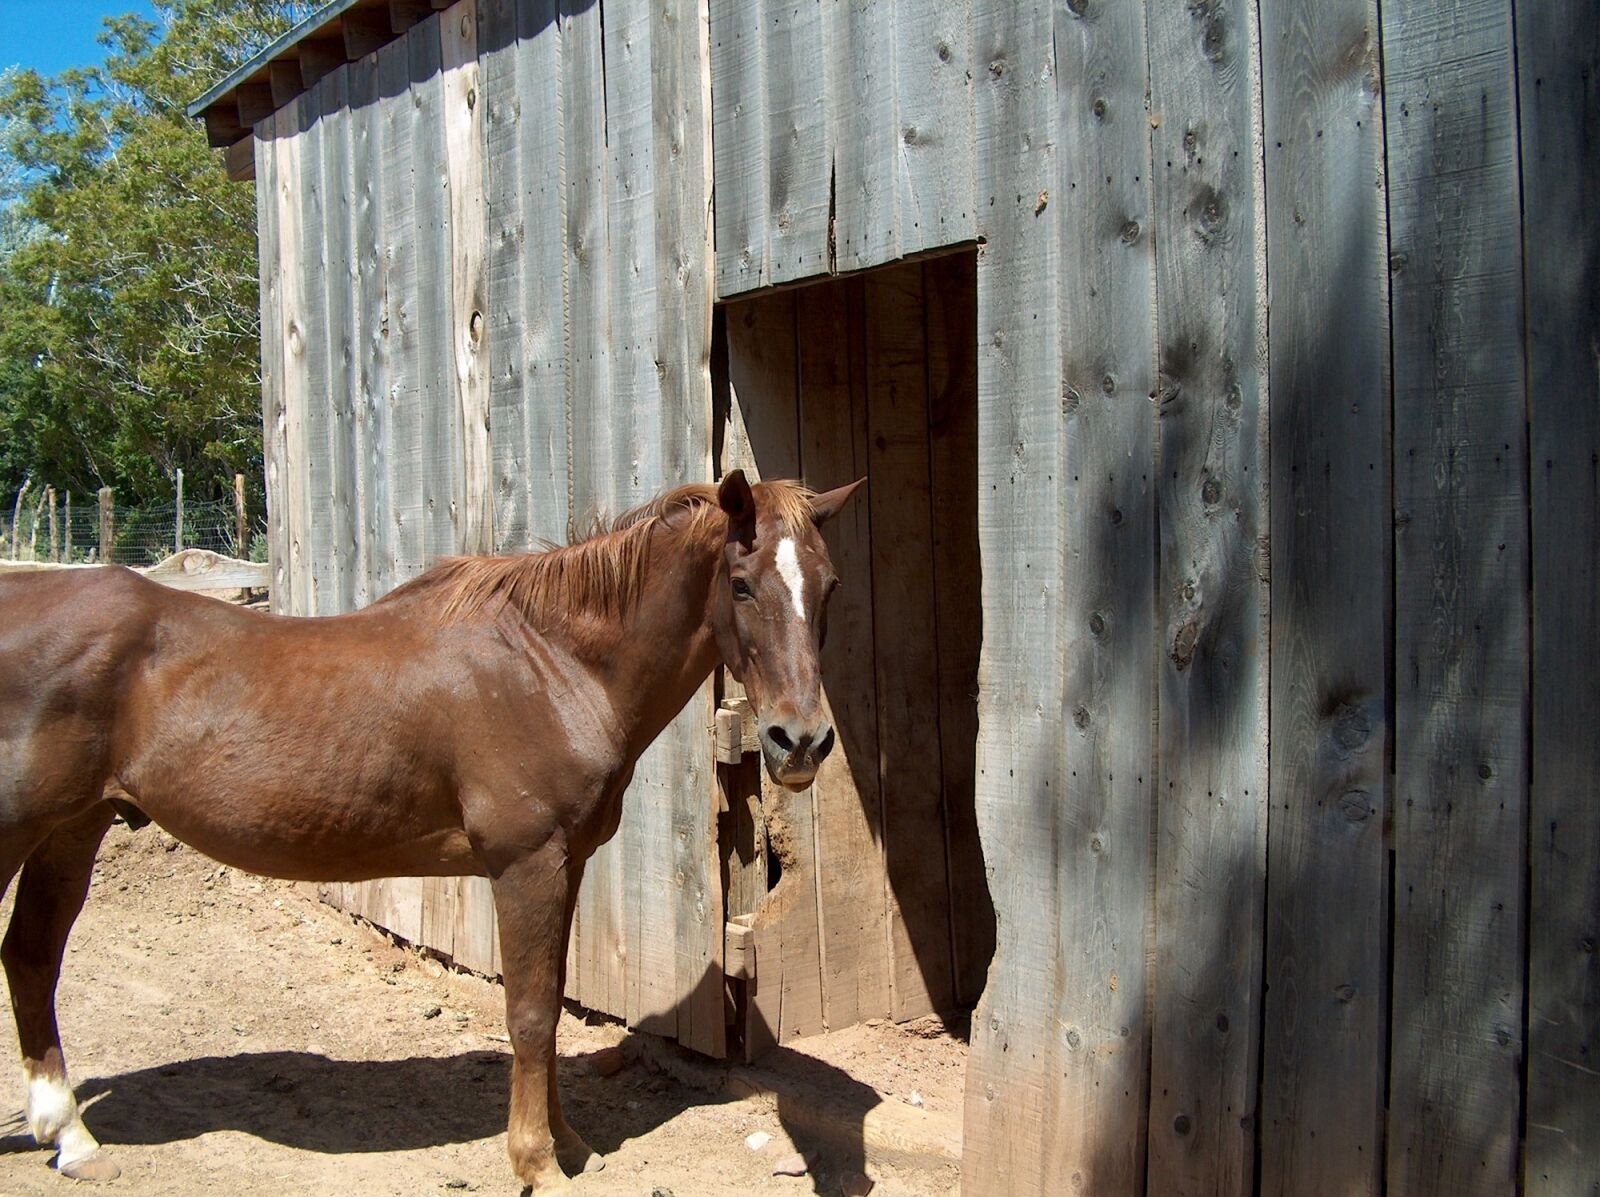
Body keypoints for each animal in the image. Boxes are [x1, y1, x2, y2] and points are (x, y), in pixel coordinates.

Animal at [0, 470, 862, 1191]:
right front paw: (535, 1159)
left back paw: (70, 1136)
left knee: (32, 955)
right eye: (742, 584)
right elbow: (530, 1014)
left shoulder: (565, 864)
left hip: (73, 829)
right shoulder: (526, 864)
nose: (799, 742)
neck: (552, 661)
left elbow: (548, 1002)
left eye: (827, 586)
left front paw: (567, 1142)